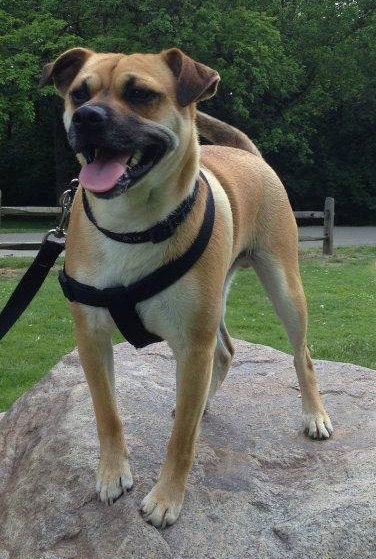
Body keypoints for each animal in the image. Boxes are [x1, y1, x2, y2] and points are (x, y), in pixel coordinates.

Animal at [41, 48, 334, 528]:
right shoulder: (92, 337)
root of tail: (249, 156)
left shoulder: (191, 343)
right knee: (226, 351)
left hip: (283, 286)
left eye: (140, 94)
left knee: (301, 355)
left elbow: (181, 441)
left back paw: (314, 415)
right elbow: (106, 412)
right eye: (79, 93)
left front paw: (166, 499)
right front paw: (112, 472)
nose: (86, 116)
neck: (133, 225)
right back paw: (201, 403)